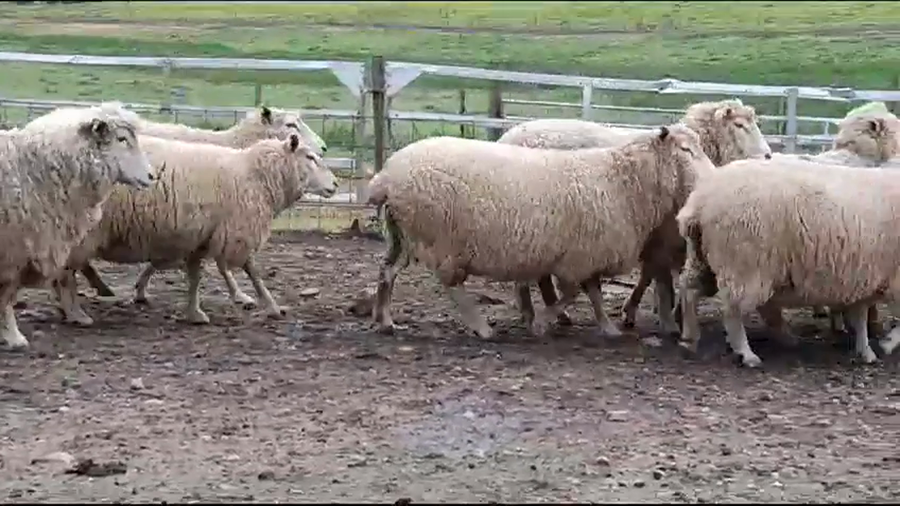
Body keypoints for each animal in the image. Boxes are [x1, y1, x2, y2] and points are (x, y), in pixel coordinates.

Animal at [54, 132, 338, 326]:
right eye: (310, 157)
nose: (335, 184)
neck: (255, 176)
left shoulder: (199, 235)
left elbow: (193, 275)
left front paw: (193, 311)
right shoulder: (235, 230)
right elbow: (251, 269)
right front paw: (270, 304)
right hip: (80, 229)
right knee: (66, 272)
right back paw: (76, 312)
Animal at [367, 124, 715, 339]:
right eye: (686, 150)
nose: (713, 175)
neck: (623, 179)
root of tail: (386, 177)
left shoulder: (588, 253)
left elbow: (593, 294)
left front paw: (607, 327)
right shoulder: (579, 256)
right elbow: (574, 293)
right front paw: (544, 321)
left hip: (403, 233)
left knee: (387, 271)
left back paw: (384, 320)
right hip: (439, 238)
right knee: (451, 285)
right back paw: (482, 327)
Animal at [497, 99, 772, 335]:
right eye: (739, 125)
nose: (768, 156)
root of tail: (507, 135)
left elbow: (650, 274)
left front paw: (650, 311)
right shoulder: (661, 236)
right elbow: (657, 275)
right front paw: (661, 315)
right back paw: (540, 313)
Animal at [677, 156, 900, 368]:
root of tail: (701, 200)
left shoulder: (864, 277)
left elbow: (860, 317)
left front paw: (866, 351)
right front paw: (886, 344)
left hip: (704, 258)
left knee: (689, 290)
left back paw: (690, 338)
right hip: (746, 265)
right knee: (732, 310)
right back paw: (747, 353)